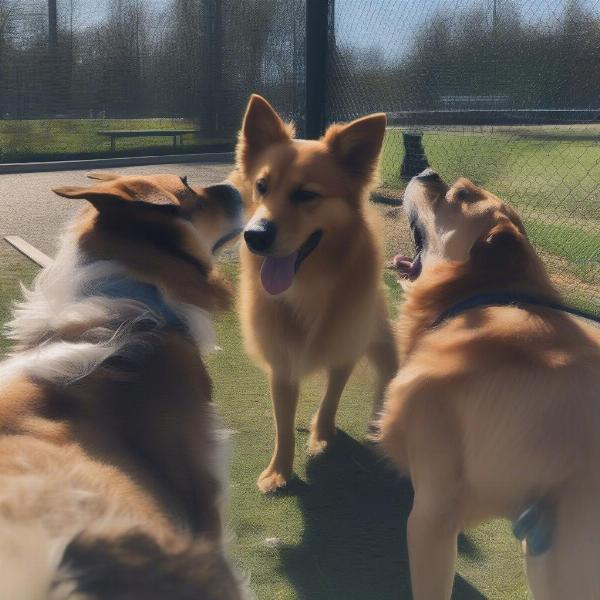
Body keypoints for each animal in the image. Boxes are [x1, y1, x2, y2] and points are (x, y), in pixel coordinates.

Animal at [233, 96, 398, 492]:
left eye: (306, 194)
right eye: (261, 186)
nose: (254, 236)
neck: (308, 287)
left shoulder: (344, 348)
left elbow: (331, 397)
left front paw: (321, 435)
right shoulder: (281, 363)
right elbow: (282, 425)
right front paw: (279, 471)